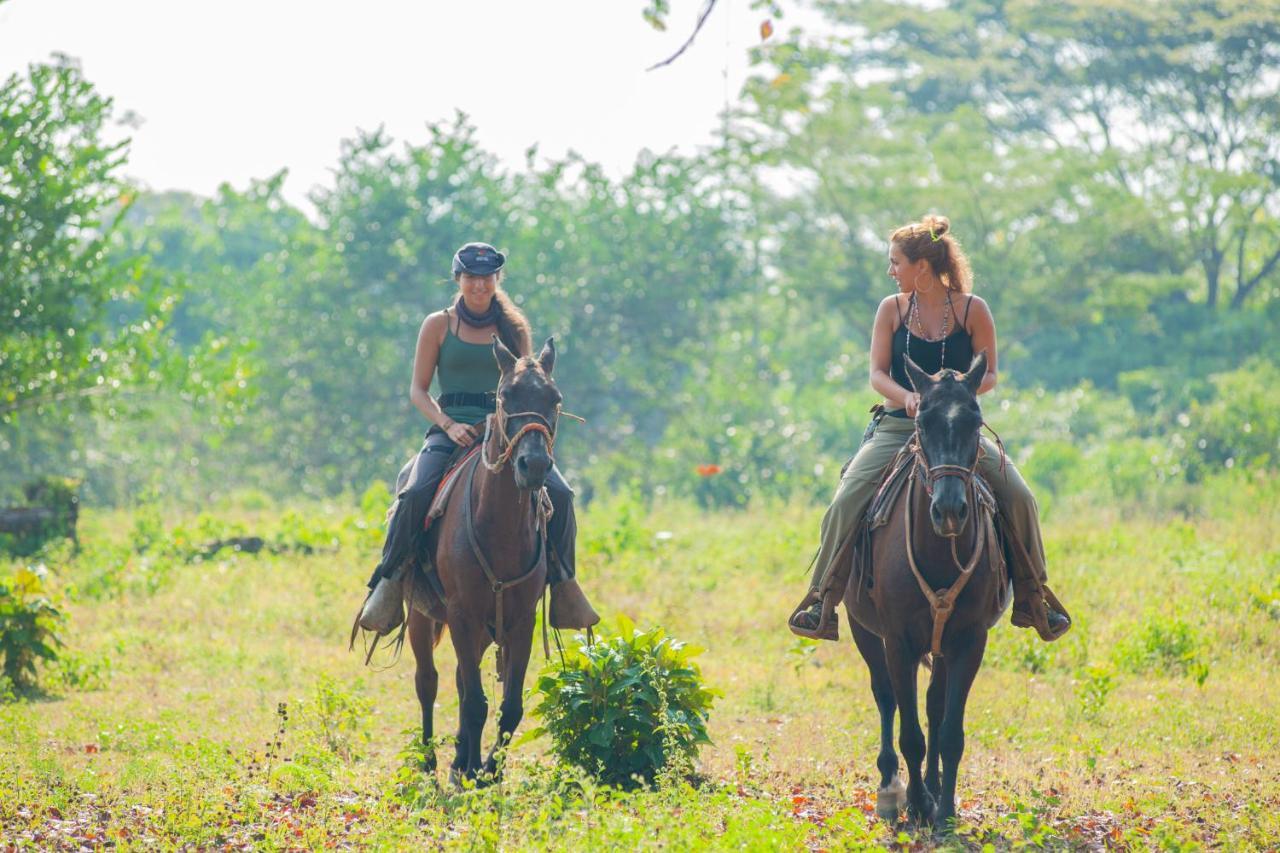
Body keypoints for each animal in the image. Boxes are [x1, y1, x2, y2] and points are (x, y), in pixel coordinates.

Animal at [401, 335, 558, 778]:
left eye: (555, 399)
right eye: (505, 396)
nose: (533, 464)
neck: (499, 529)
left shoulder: (520, 620)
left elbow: (510, 707)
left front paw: (488, 770)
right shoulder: (461, 613)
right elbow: (474, 701)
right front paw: (472, 770)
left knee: (456, 677)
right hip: (421, 614)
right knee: (428, 681)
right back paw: (430, 761)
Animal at [844, 348, 1013, 824]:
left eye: (975, 421)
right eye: (921, 424)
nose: (950, 510)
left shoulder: (970, 640)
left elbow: (949, 729)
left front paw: (945, 811)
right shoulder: (897, 640)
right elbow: (910, 733)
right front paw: (917, 806)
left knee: (934, 706)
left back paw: (935, 789)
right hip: (864, 630)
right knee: (885, 698)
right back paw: (889, 790)